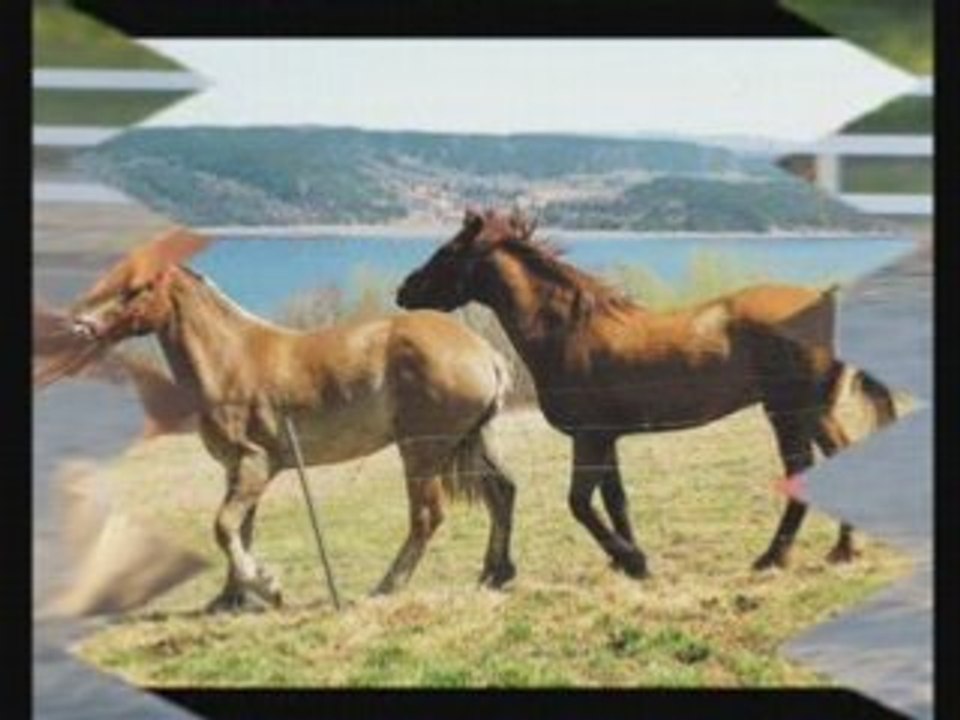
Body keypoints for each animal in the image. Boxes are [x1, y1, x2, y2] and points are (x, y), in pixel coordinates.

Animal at [63, 229, 519, 611]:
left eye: (137, 288)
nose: (84, 326)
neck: (230, 359)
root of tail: (484, 352)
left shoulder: (255, 463)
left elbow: (223, 526)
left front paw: (266, 587)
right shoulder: (237, 469)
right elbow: (241, 529)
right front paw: (229, 599)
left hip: (421, 450)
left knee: (427, 516)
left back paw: (386, 587)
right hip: (473, 440)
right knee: (502, 493)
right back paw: (495, 574)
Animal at [396, 208, 897, 579]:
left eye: (448, 251)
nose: (404, 290)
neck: (569, 333)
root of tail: (828, 299)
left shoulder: (589, 437)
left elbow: (579, 502)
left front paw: (631, 558)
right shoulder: (608, 438)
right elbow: (616, 500)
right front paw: (632, 561)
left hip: (794, 410)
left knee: (809, 468)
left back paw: (786, 555)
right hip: (805, 411)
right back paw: (827, 550)